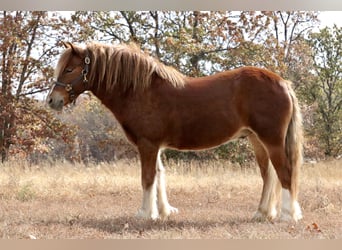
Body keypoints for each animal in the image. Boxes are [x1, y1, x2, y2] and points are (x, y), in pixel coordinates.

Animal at [46, 41, 304, 223]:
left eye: (69, 69)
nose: (51, 100)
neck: (141, 90)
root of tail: (283, 83)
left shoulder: (147, 144)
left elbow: (148, 178)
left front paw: (145, 214)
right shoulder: (155, 145)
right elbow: (160, 175)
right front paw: (164, 211)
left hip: (271, 140)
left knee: (285, 173)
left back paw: (288, 215)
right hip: (257, 141)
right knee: (269, 175)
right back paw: (262, 213)